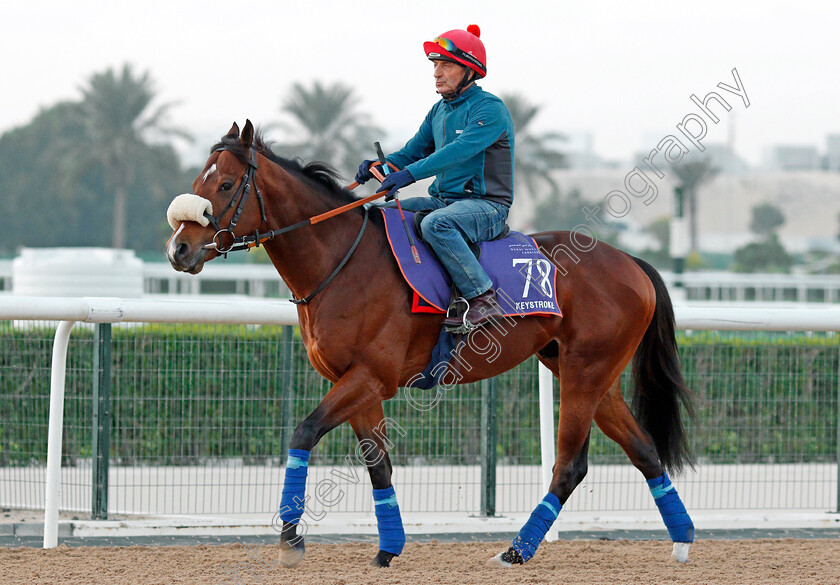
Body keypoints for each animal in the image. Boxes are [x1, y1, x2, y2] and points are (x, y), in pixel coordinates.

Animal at [164, 122, 696, 564]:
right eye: (198, 183)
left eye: (225, 185)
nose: (178, 250)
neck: (341, 262)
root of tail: (632, 263)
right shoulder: (358, 385)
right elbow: (379, 466)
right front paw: (387, 550)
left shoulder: (370, 377)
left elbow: (303, 433)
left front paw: (291, 538)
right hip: (589, 374)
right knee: (644, 451)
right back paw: (683, 541)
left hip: (585, 374)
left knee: (569, 467)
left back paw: (516, 550)